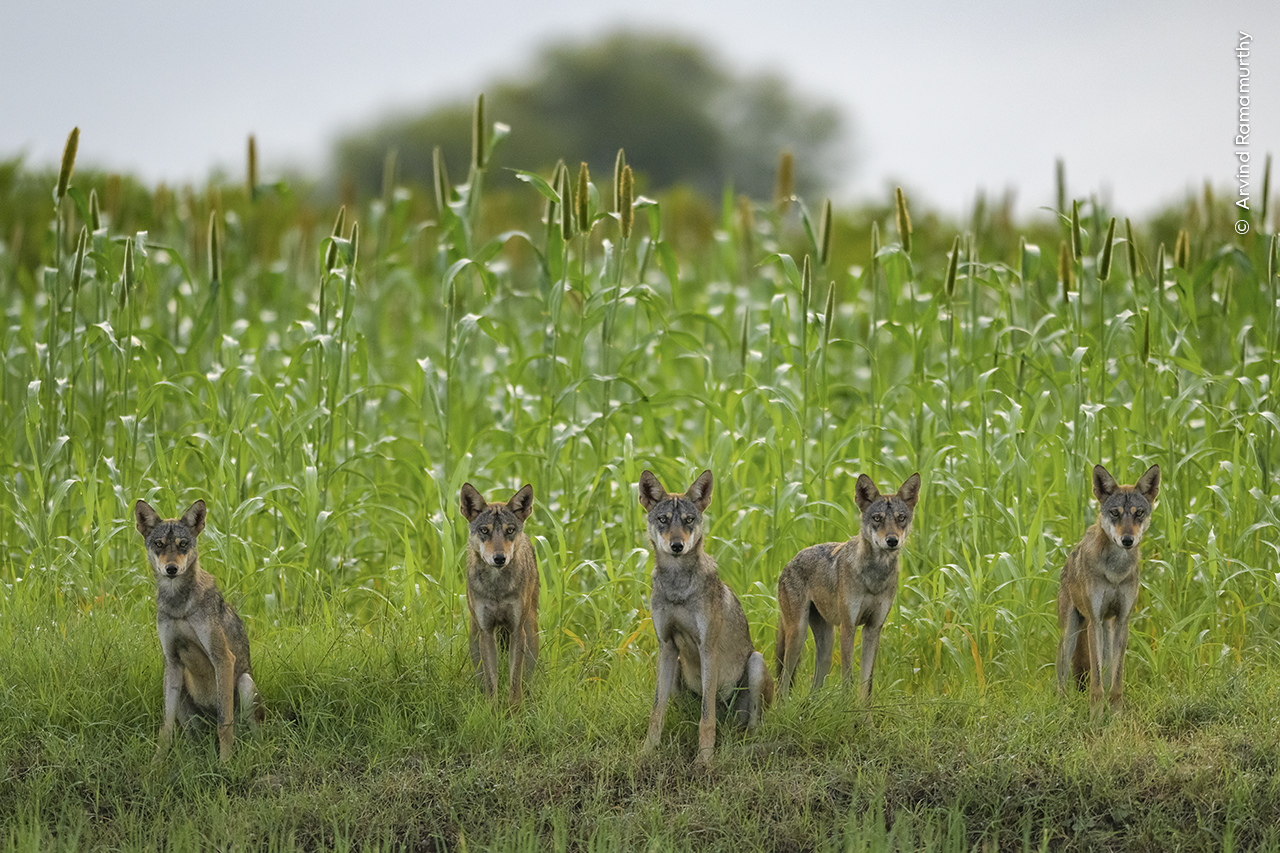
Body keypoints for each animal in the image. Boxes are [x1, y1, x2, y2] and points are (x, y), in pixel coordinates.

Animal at [135, 494, 259, 758]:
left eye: (183, 544)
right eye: (159, 544)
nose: (171, 569)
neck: (179, 605)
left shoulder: (223, 659)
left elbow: (224, 723)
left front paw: (225, 762)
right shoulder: (172, 661)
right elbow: (166, 728)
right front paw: (157, 763)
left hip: (245, 683)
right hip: (181, 687)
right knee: (192, 738)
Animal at [768, 471, 921, 696]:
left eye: (901, 518)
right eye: (877, 518)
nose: (892, 540)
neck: (874, 577)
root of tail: (790, 562)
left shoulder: (873, 628)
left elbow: (866, 685)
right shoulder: (848, 626)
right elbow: (848, 680)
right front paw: (847, 706)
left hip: (826, 646)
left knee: (813, 691)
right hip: (798, 636)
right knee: (782, 684)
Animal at [1059, 461, 1162, 712]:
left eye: (1138, 513)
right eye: (1115, 513)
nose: (1127, 540)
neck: (1116, 572)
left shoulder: (1123, 621)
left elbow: (1116, 682)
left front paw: (1115, 715)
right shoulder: (1094, 622)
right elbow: (1096, 685)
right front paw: (1095, 717)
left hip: (1108, 632)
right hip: (1070, 636)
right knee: (1062, 681)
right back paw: (1062, 710)